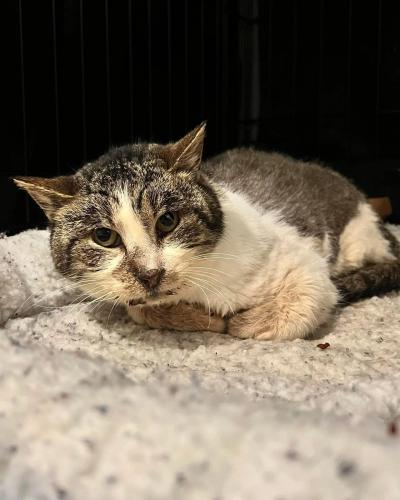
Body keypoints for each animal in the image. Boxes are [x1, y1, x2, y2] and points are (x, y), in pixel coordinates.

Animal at [12, 122, 400, 340]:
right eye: (104, 237)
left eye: (168, 221)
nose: (150, 274)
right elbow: (138, 308)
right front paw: (199, 319)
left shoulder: (304, 266)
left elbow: (306, 300)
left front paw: (244, 323)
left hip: (357, 239)